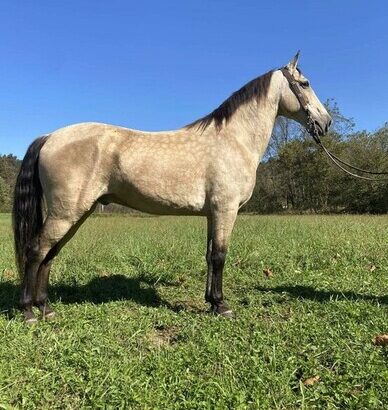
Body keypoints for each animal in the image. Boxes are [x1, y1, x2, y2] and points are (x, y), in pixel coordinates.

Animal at [13, 52, 332, 324]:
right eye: (305, 83)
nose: (326, 122)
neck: (233, 139)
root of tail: (50, 136)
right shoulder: (225, 210)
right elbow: (220, 256)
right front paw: (222, 305)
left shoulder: (212, 214)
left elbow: (209, 255)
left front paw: (211, 301)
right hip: (65, 214)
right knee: (36, 251)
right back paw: (28, 312)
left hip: (76, 214)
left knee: (50, 254)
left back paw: (46, 308)